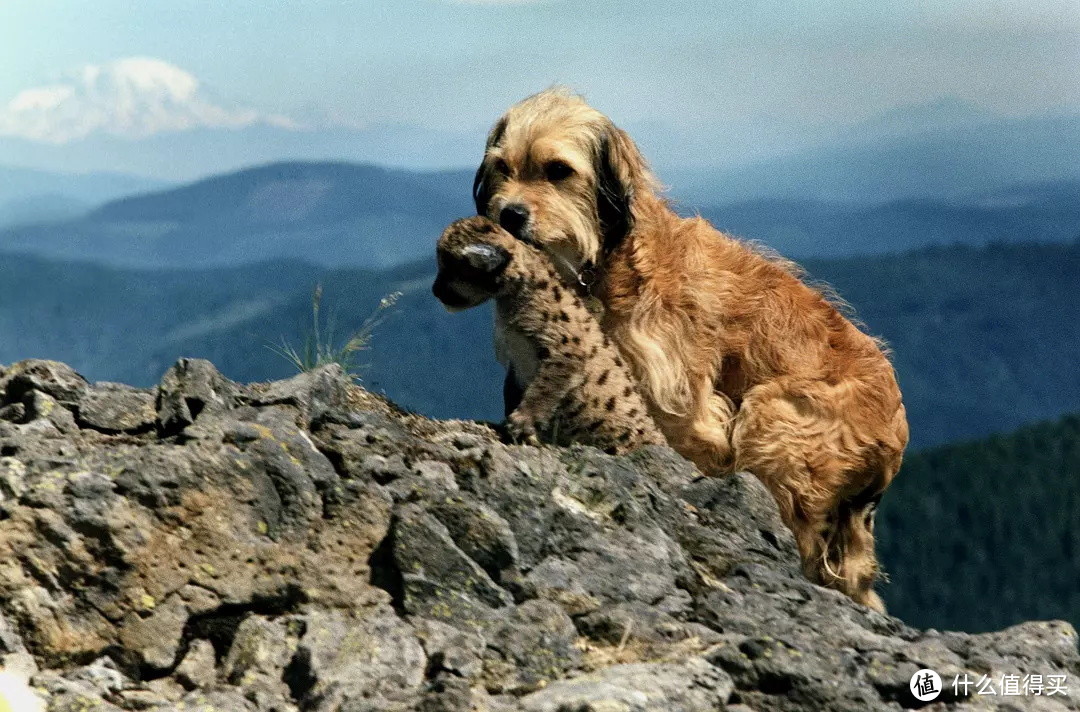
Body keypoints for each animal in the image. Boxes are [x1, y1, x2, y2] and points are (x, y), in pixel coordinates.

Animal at [477, 87, 907, 613]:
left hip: (775, 419)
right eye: (502, 167)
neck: (606, 262)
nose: (509, 214)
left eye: (558, 170)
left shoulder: (679, 399)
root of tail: (896, 435)